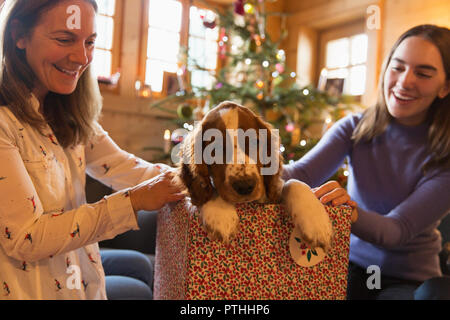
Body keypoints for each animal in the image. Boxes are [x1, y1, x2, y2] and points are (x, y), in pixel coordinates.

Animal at [174, 101, 332, 251]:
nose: (244, 186)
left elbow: (293, 182)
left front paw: (316, 224)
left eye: (255, 142)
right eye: (215, 148)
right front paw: (220, 216)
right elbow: (208, 188)